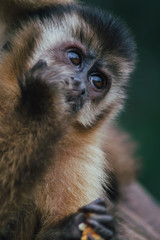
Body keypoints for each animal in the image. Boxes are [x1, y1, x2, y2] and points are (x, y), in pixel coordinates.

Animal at [0, 0, 138, 240]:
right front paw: (43, 101)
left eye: (97, 81)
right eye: (75, 58)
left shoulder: (81, 155)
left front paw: (73, 228)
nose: (80, 86)